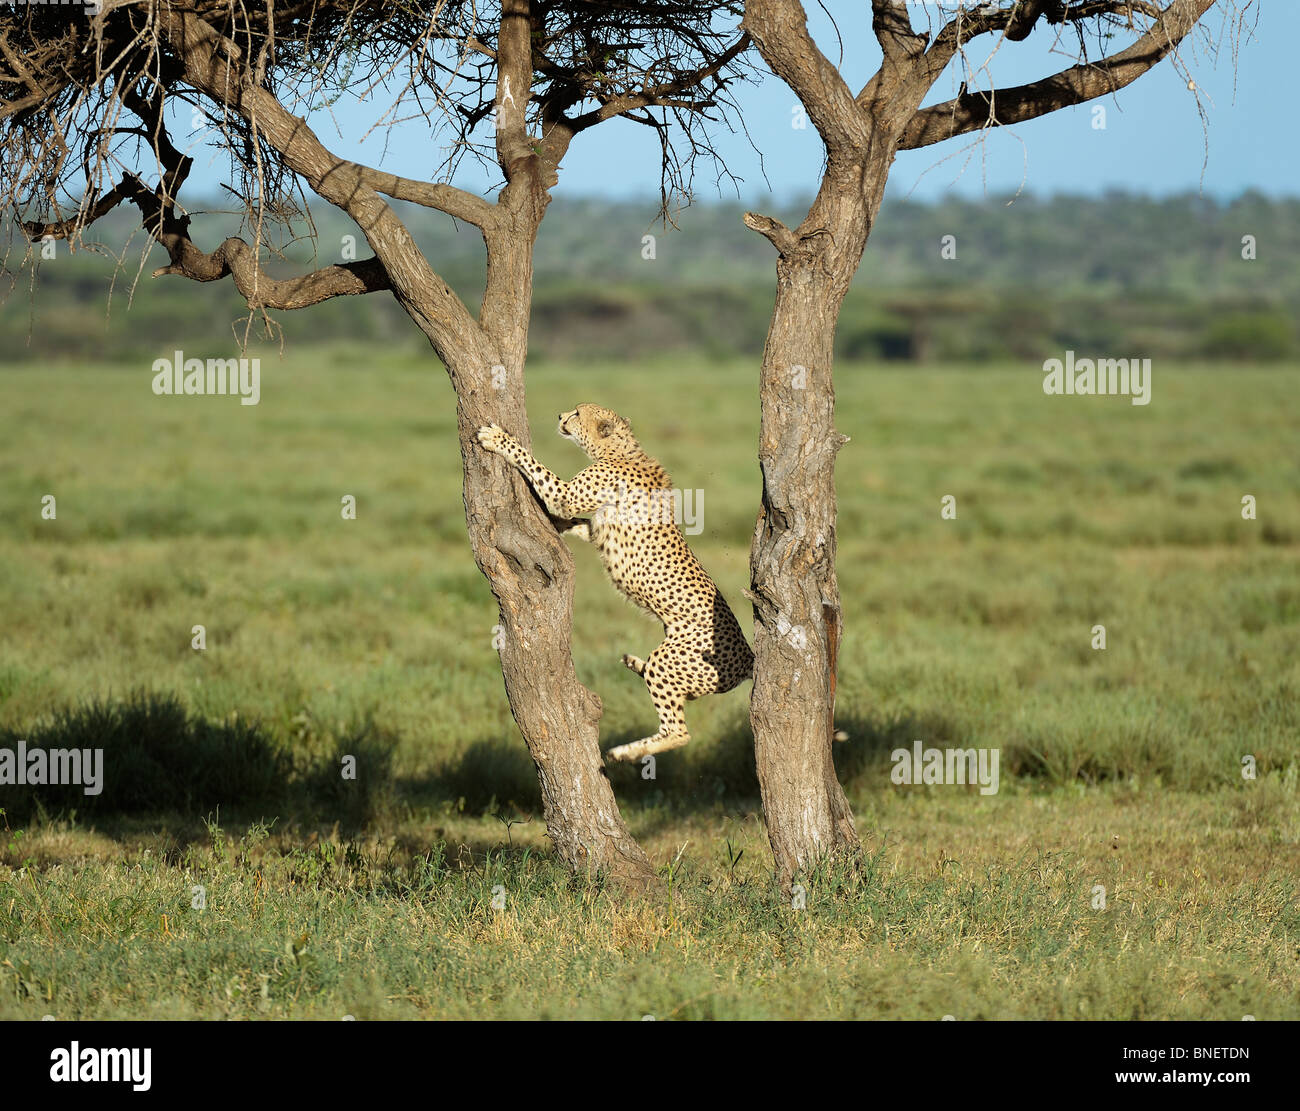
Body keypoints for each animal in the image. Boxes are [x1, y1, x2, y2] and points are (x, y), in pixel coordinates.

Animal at [476, 404, 753, 763]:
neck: (618, 448)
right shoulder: (593, 526)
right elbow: (576, 522)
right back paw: (635, 664)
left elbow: (535, 466)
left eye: (578, 413)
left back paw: (625, 752)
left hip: (673, 660)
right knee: (681, 698)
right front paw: (552, 522)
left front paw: (496, 438)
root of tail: (748, 655)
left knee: (679, 732)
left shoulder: (566, 494)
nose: (560, 415)